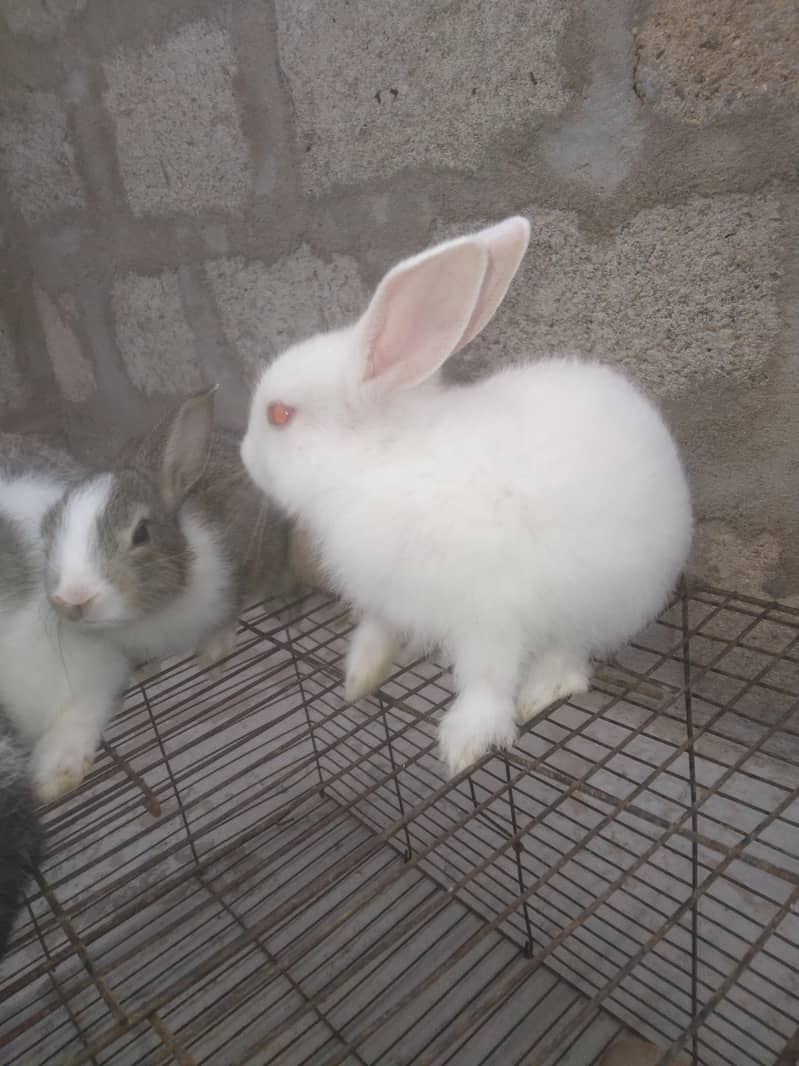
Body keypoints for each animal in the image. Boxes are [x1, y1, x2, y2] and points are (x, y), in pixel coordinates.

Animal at [240, 216, 693, 778]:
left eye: (279, 415)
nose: (243, 455)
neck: (380, 460)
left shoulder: (488, 612)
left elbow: (485, 678)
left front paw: (464, 745)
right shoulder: (387, 597)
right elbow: (377, 631)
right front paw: (359, 678)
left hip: (606, 594)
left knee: (572, 655)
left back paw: (541, 692)